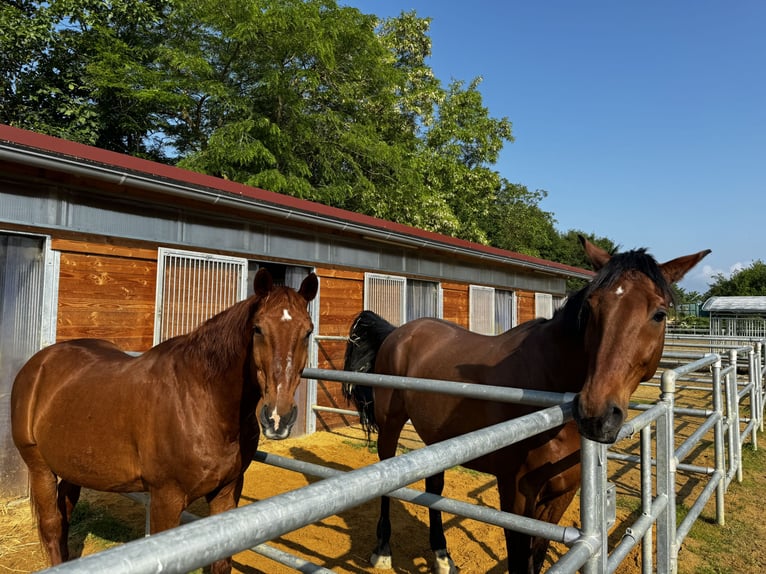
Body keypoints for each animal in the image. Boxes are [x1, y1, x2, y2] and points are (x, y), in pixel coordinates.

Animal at [12, 270, 318, 574]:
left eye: (308, 331)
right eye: (258, 329)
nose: (278, 417)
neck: (203, 400)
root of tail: (39, 362)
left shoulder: (227, 491)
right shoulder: (166, 500)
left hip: (74, 464)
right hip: (39, 466)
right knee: (52, 525)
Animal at [344, 238, 712, 574]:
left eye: (659, 314)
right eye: (591, 309)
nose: (596, 415)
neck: (547, 378)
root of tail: (398, 332)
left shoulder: (562, 494)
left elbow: (538, 556)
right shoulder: (516, 494)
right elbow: (521, 560)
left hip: (439, 441)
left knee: (433, 487)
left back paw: (442, 557)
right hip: (391, 425)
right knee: (386, 479)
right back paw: (383, 550)